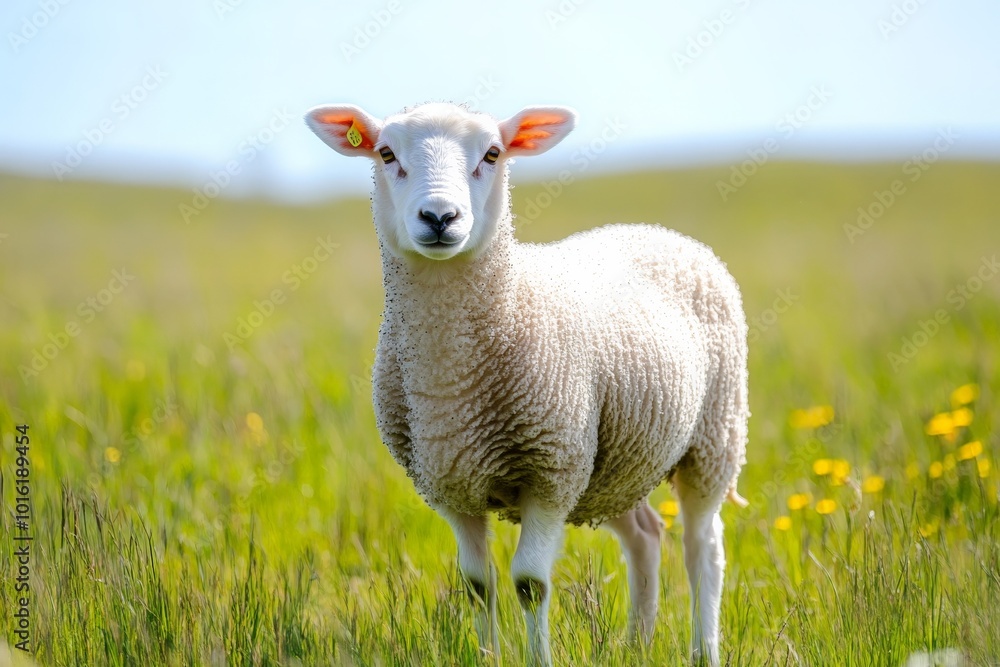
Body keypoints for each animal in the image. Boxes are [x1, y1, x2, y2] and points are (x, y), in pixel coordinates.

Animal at [305, 101, 749, 666]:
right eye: (386, 153)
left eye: (493, 154)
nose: (440, 218)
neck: (450, 385)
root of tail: (655, 230)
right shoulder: (451, 484)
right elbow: (478, 584)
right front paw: (485, 656)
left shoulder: (550, 473)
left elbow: (529, 584)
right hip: (613, 464)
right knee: (646, 536)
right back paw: (637, 643)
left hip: (711, 437)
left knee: (704, 549)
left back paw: (703, 649)